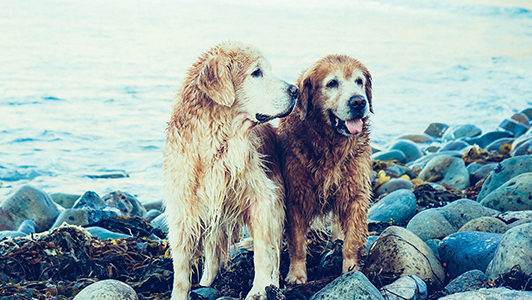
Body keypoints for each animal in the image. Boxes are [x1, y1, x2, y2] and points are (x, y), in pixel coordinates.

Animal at [164, 40, 298, 300]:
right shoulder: (184, 206)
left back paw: (274, 284)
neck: (217, 142)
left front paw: (259, 289)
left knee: (275, 250)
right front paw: (179, 294)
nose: (296, 89)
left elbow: (263, 252)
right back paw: (207, 280)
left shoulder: (263, 199)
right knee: (213, 248)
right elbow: (182, 265)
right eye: (256, 72)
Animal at [278, 55, 374, 284]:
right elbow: (297, 244)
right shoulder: (296, 197)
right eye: (332, 83)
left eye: (359, 81)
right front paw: (296, 274)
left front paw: (351, 269)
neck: (329, 144)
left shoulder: (356, 192)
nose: (359, 101)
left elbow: (352, 239)